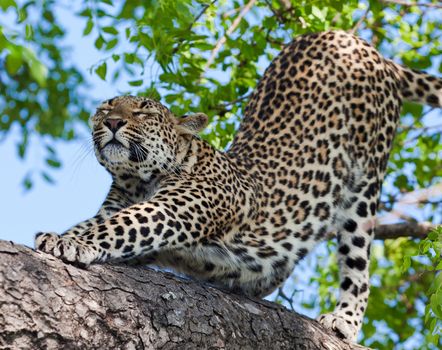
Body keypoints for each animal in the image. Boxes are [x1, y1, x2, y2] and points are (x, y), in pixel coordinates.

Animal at [35, 30, 442, 342]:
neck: (136, 180)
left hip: (365, 183)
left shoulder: (172, 209)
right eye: (105, 108)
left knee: (358, 262)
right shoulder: (117, 205)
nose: (113, 123)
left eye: (144, 111)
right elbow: (97, 223)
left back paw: (344, 321)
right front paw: (61, 236)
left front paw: (71, 244)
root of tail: (353, 39)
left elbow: (122, 225)